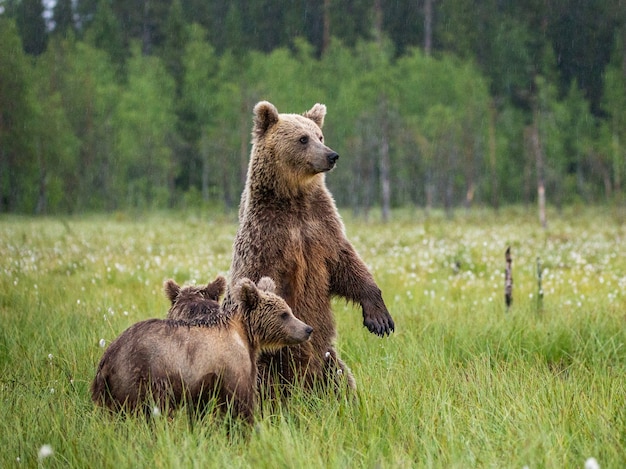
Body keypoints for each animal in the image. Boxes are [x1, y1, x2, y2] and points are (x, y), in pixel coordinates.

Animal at [228, 100, 394, 394]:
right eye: (302, 139)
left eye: (320, 136)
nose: (332, 156)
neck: (295, 199)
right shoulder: (266, 238)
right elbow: (260, 280)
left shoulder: (321, 228)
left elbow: (347, 265)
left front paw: (379, 319)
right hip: (265, 365)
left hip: (328, 357)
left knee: (340, 377)